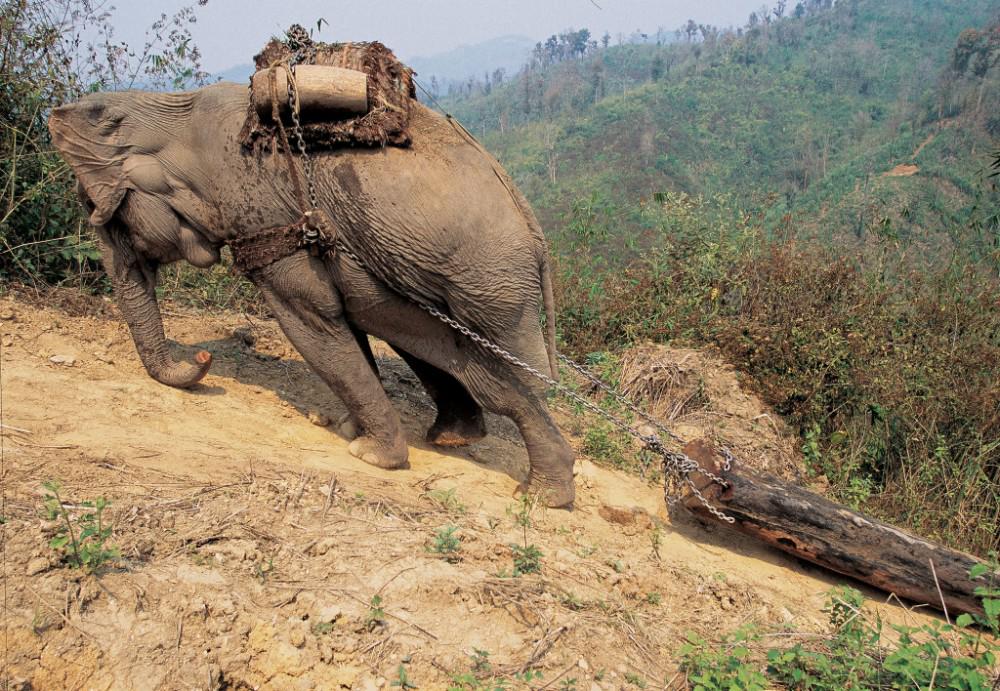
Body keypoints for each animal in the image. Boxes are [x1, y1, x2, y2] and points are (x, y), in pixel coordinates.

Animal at [48, 82, 576, 507]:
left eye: (102, 214)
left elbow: (310, 320)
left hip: (491, 287)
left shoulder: (267, 213)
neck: (173, 109)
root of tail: (537, 235)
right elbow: (343, 323)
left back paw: (542, 495)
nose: (202, 357)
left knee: (497, 377)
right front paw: (345, 429)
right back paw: (454, 440)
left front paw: (370, 456)